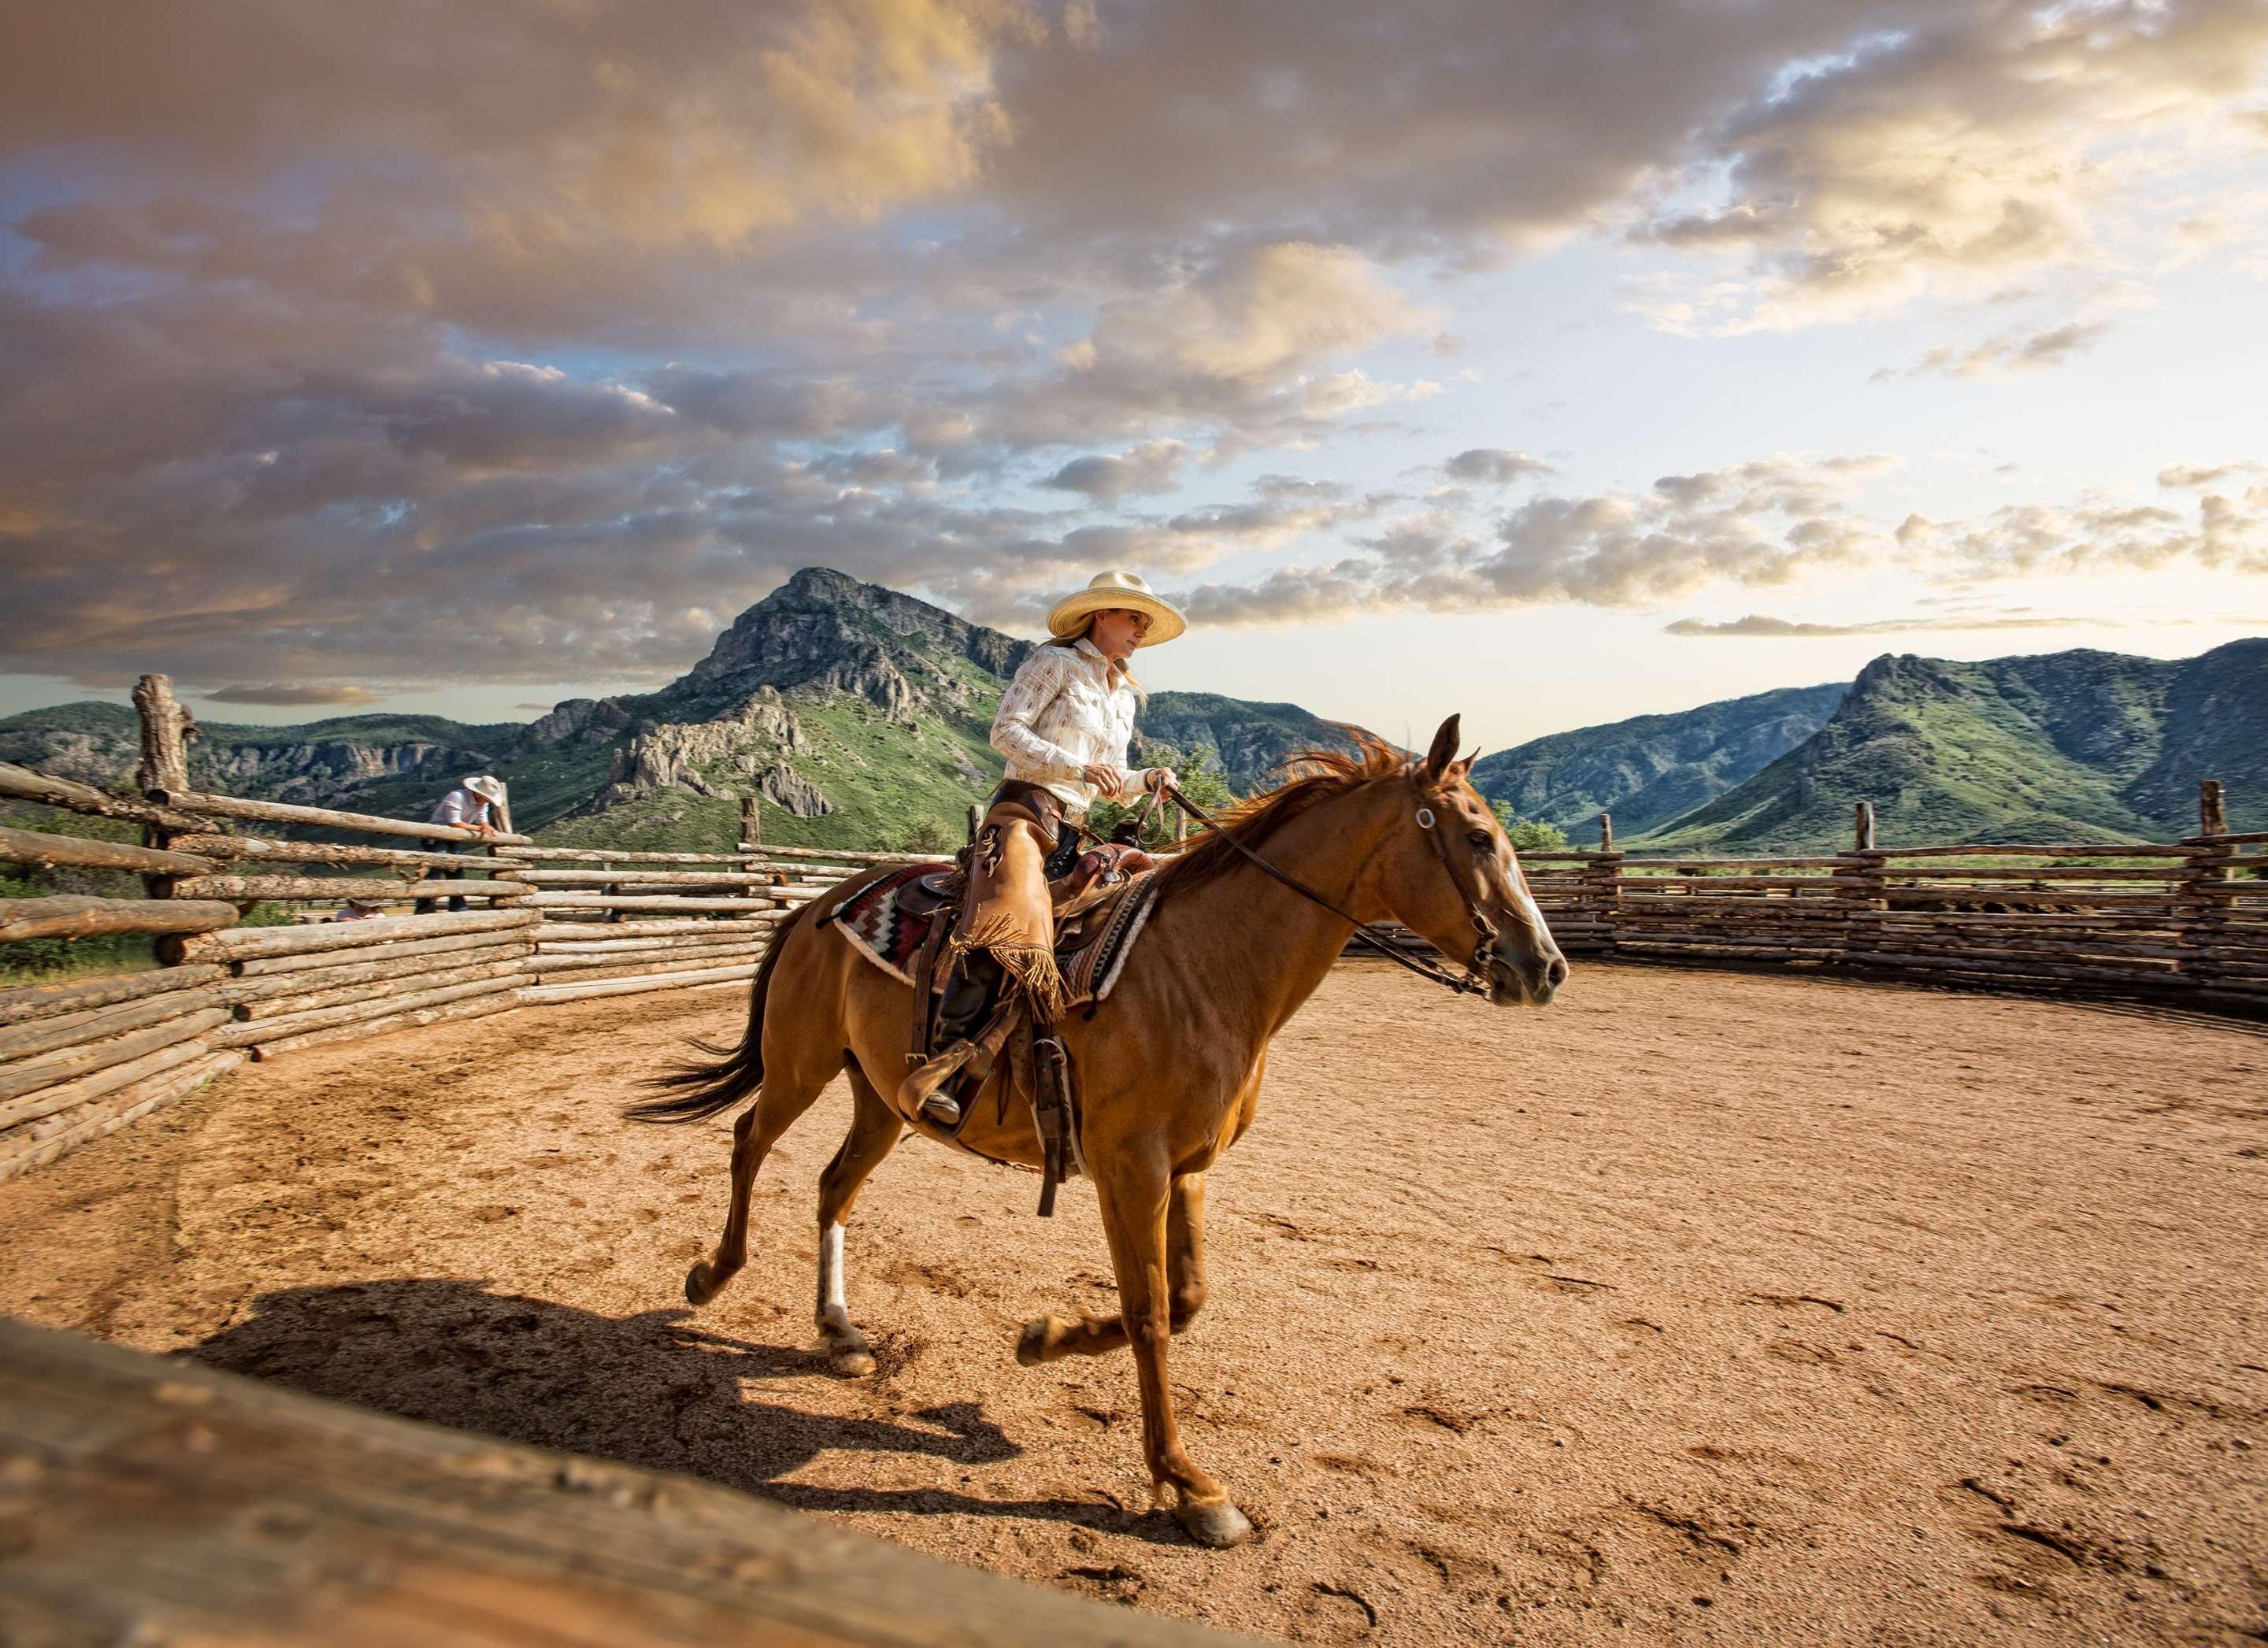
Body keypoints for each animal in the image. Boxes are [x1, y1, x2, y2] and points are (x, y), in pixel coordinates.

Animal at [630, 720, 1569, 1550]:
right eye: (1478, 837)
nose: (1545, 967)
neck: (1208, 966)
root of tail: (815, 907)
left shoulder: (1188, 1167)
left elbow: (1186, 1300)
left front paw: (1046, 1339)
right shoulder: (1132, 1167)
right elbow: (1151, 1313)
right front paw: (1189, 1485)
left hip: (882, 1098)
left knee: (833, 1184)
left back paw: (840, 1333)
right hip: (802, 1061)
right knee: (748, 1139)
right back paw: (713, 1274)